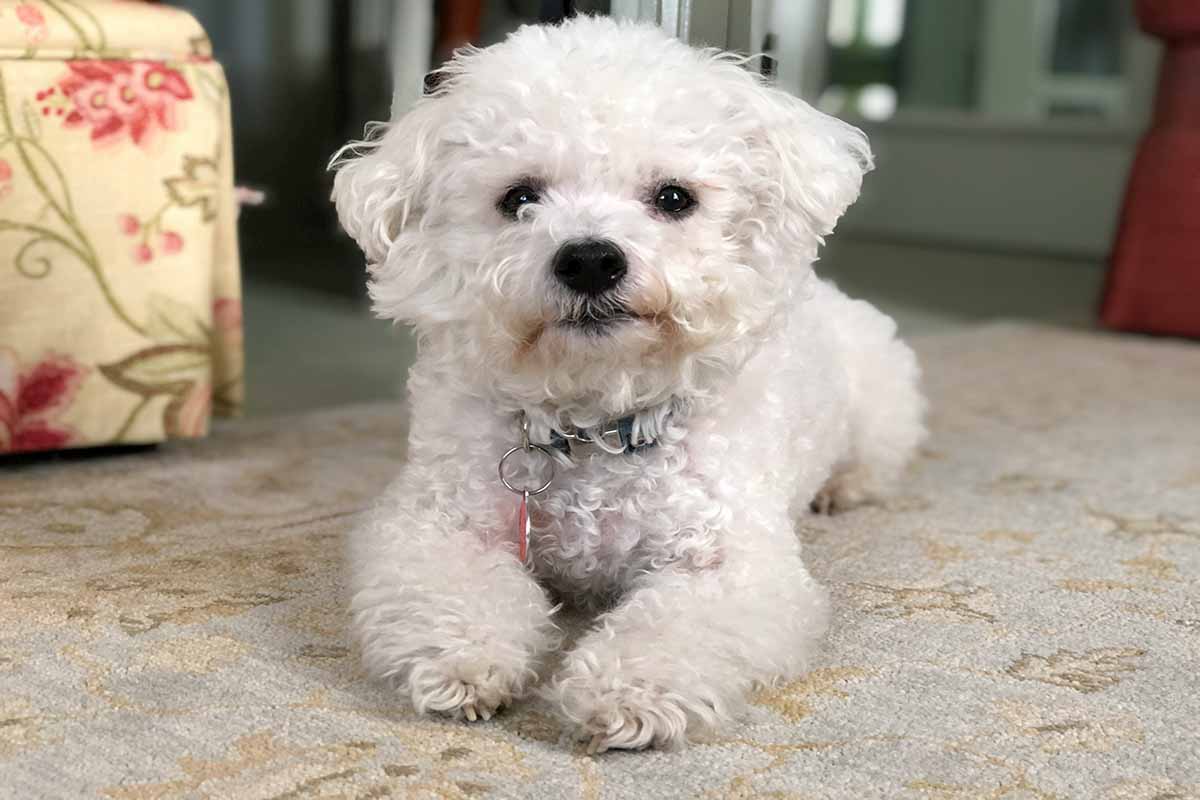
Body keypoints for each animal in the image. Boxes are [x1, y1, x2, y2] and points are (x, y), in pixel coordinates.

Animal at [333, 14, 921, 753]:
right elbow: (452, 594)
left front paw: (630, 689)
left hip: (880, 403)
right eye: (518, 198)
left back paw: (842, 490)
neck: (596, 420)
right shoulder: (434, 526)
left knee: (877, 461)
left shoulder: (730, 562)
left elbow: (671, 629)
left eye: (673, 197)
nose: (589, 259)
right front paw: (463, 657)